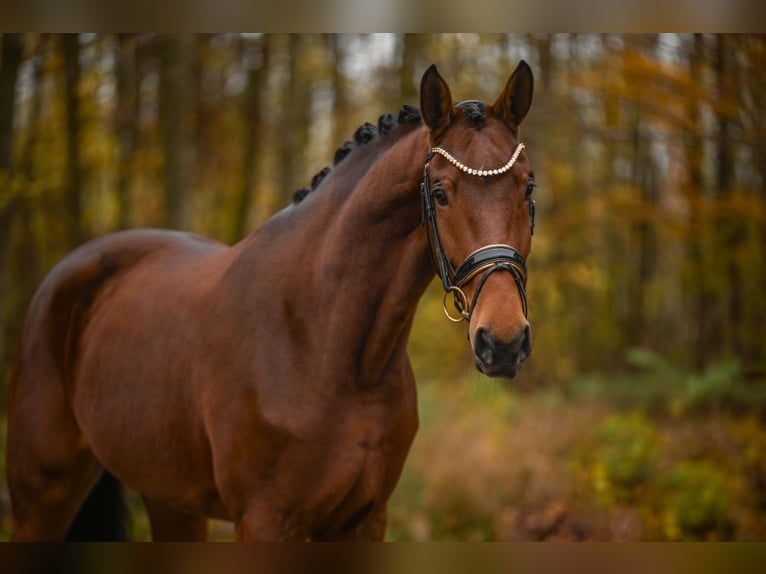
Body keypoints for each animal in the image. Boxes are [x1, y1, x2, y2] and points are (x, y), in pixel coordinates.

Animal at [6, 60, 536, 544]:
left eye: (528, 186)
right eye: (441, 193)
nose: (503, 342)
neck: (328, 347)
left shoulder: (365, 520)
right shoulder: (265, 520)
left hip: (169, 497)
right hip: (42, 495)